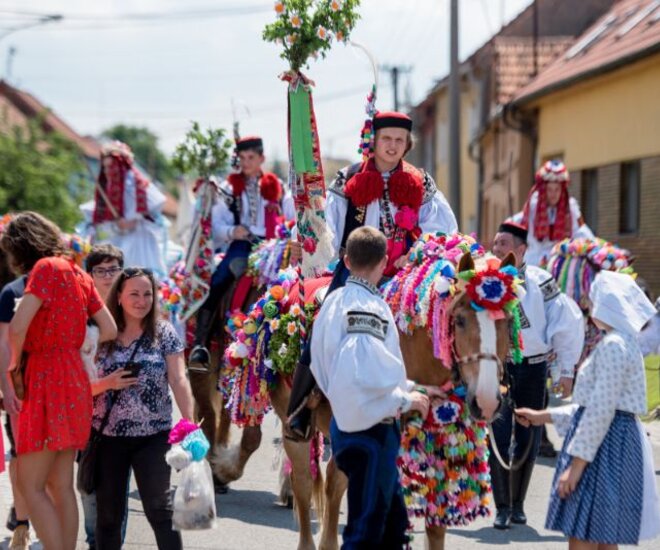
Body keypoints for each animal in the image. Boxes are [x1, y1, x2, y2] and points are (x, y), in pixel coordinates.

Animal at [219, 234, 524, 550]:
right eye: (460, 320)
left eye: (506, 321)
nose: (487, 401)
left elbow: (434, 525)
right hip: (295, 424)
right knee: (305, 482)